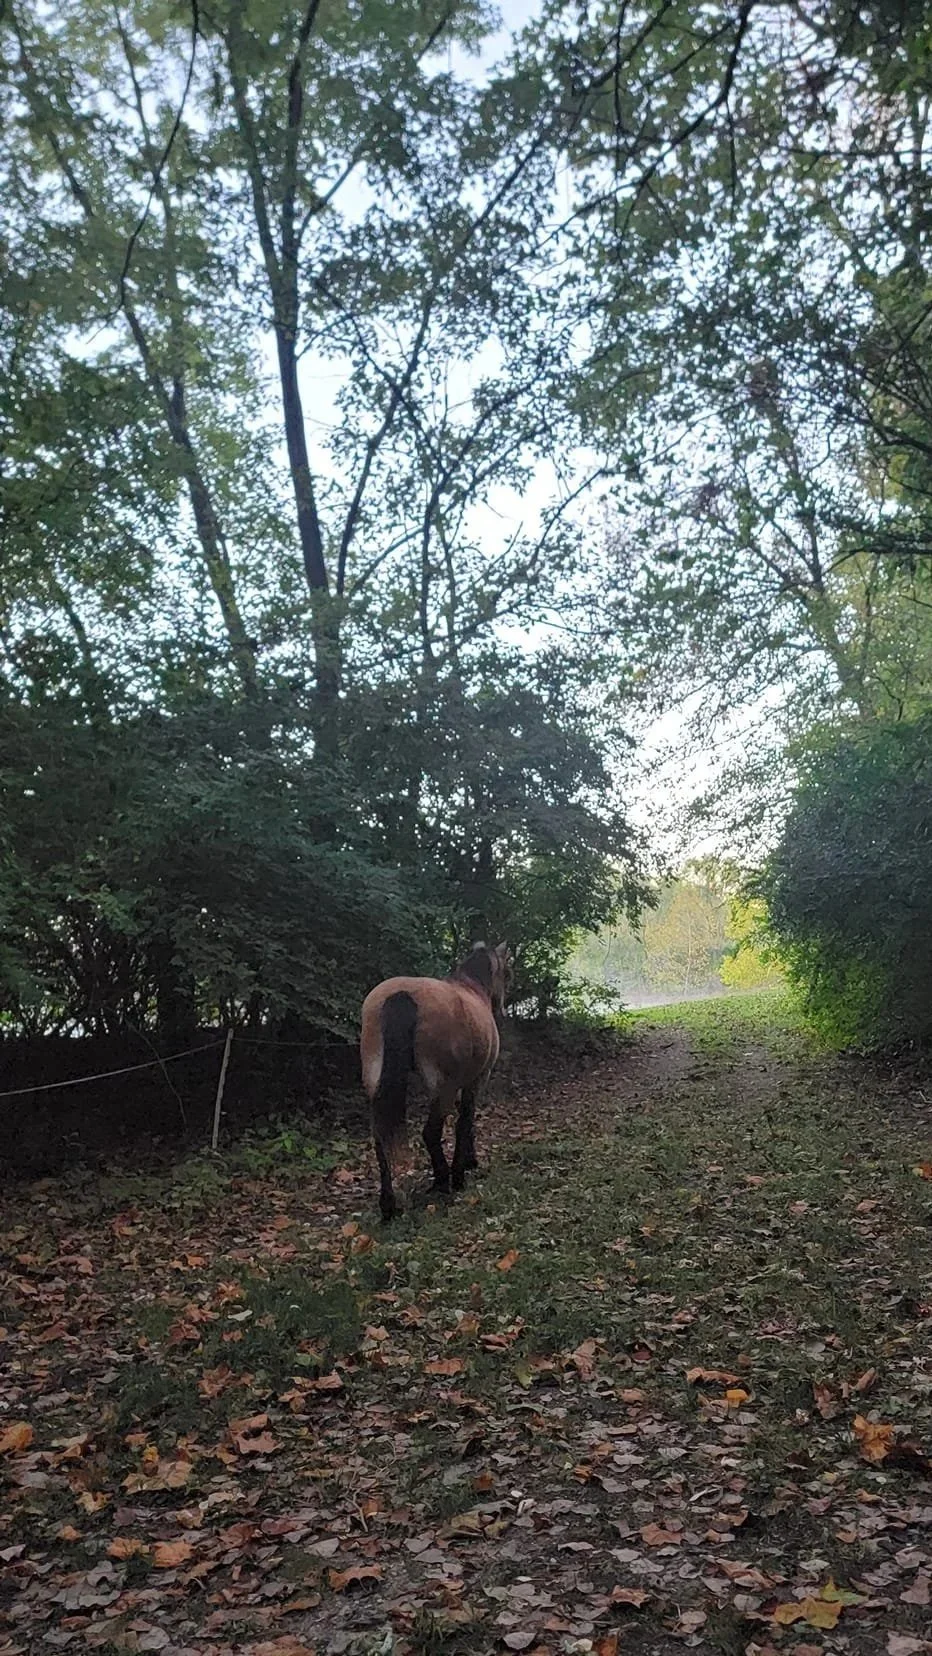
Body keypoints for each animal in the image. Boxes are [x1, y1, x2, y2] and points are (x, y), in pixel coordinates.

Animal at [360, 942, 511, 1220]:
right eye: (507, 974)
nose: (502, 1009)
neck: (472, 989)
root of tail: (401, 996)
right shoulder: (476, 1079)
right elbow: (466, 1121)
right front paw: (464, 1169)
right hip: (443, 1088)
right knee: (430, 1132)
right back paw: (444, 1180)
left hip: (375, 1082)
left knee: (380, 1139)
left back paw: (388, 1206)